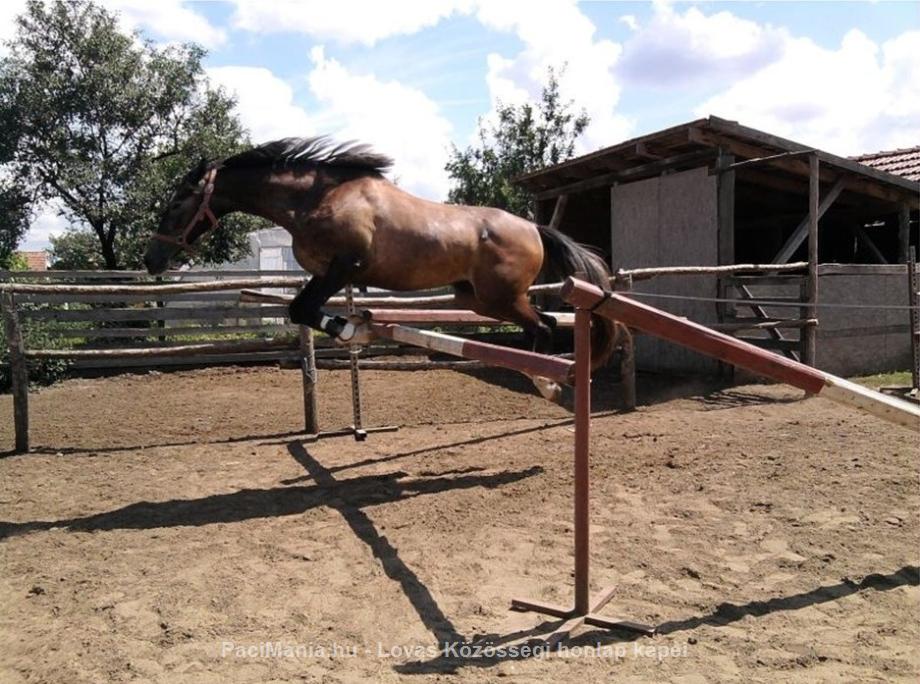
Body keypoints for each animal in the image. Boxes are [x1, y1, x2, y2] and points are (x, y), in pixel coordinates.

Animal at [146, 136, 620, 398]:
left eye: (176, 204)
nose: (152, 261)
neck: (312, 200)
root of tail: (534, 228)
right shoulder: (326, 272)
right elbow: (300, 308)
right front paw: (356, 324)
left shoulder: (345, 265)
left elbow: (303, 309)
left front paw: (352, 329)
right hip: (481, 300)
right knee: (542, 322)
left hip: (500, 297)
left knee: (542, 326)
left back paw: (548, 383)